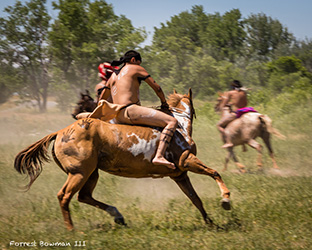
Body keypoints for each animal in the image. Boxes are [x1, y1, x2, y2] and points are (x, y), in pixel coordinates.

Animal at [14, 89, 232, 230]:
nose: (74, 112)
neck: (178, 125)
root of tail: (59, 132)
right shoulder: (187, 160)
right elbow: (214, 172)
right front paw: (226, 200)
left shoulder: (179, 175)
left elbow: (195, 199)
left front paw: (211, 223)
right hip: (79, 173)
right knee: (64, 196)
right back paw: (71, 230)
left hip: (91, 173)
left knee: (84, 196)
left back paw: (118, 216)